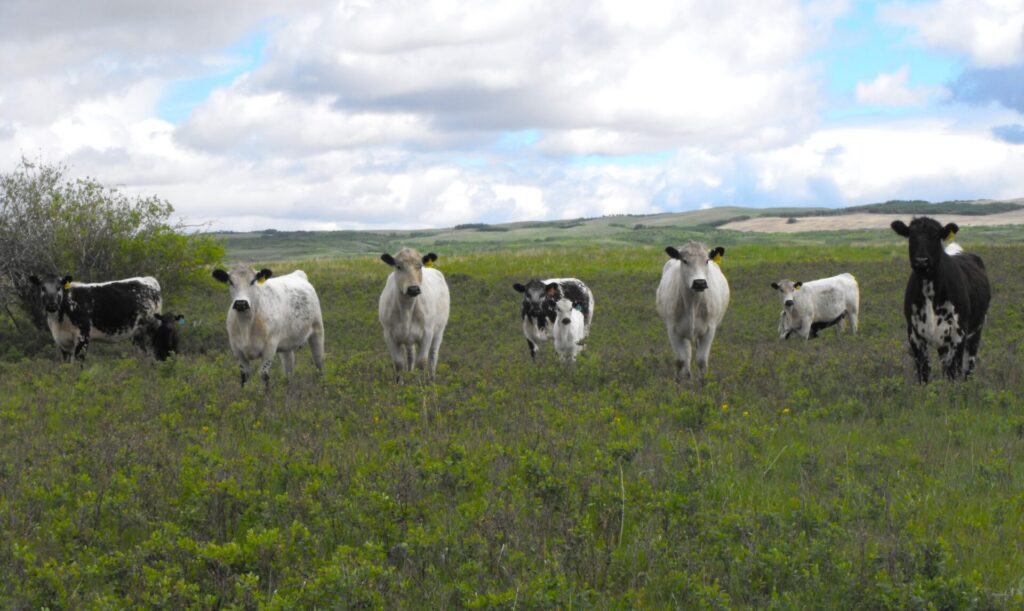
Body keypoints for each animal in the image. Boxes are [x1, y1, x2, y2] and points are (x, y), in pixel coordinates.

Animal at [28, 272, 161, 362]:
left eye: (58, 287)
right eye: (43, 288)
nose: (51, 305)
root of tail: (148, 279)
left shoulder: (82, 336)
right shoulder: (62, 342)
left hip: (151, 328)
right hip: (137, 334)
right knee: (145, 355)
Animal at [378, 245, 450, 378]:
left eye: (419, 266)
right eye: (398, 266)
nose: (413, 289)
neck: (407, 308)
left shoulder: (427, 333)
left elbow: (421, 363)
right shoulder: (389, 335)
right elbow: (399, 364)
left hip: (439, 331)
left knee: (433, 357)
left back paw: (431, 378)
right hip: (408, 338)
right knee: (410, 356)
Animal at [655, 241, 729, 380]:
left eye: (706, 260)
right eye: (684, 261)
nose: (699, 283)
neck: (692, 303)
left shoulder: (709, 330)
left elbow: (701, 360)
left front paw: (703, 382)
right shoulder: (673, 330)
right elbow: (680, 360)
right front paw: (678, 382)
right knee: (687, 353)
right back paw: (687, 374)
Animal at [888, 217, 991, 380]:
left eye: (936, 236)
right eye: (911, 235)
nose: (921, 260)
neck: (929, 291)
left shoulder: (958, 335)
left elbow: (954, 374)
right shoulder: (914, 336)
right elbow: (924, 374)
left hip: (976, 332)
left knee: (968, 368)